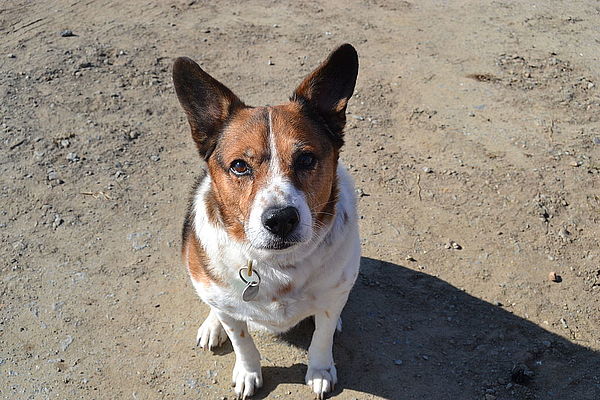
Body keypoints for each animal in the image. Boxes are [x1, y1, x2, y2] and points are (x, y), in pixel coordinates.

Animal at [173, 44, 360, 400]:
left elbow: (322, 337)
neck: (277, 263)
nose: (281, 219)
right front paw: (248, 372)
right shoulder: (231, 312)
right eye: (239, 166)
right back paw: (212, 325)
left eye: (306, 159)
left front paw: (320, 370)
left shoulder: (333, 297)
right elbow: (243, 342)